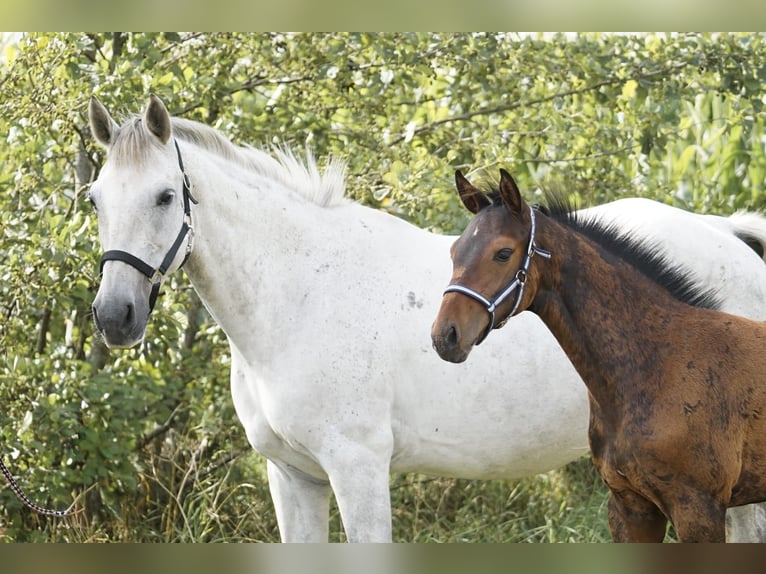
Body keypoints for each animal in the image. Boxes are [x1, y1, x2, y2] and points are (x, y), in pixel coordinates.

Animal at [432, 169, 766, 542]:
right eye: (455, 251)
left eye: (503, 253)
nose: (446, 335)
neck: (661, 361)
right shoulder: (629, 506)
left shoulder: (697, 509)